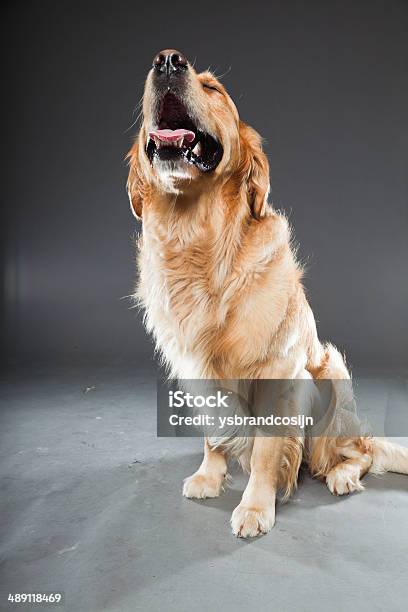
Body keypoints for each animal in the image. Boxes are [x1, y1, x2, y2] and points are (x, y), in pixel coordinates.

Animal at [127, 50, 408, 536]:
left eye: (213, 88)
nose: (167, 61)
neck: (197, 241)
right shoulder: (197, 369)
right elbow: (214, 435)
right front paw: (209, 477)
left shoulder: (278, 369)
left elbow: (264, 451)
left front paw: (256, 508)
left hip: (331, 372)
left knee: (358, 451)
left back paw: (340, 475)